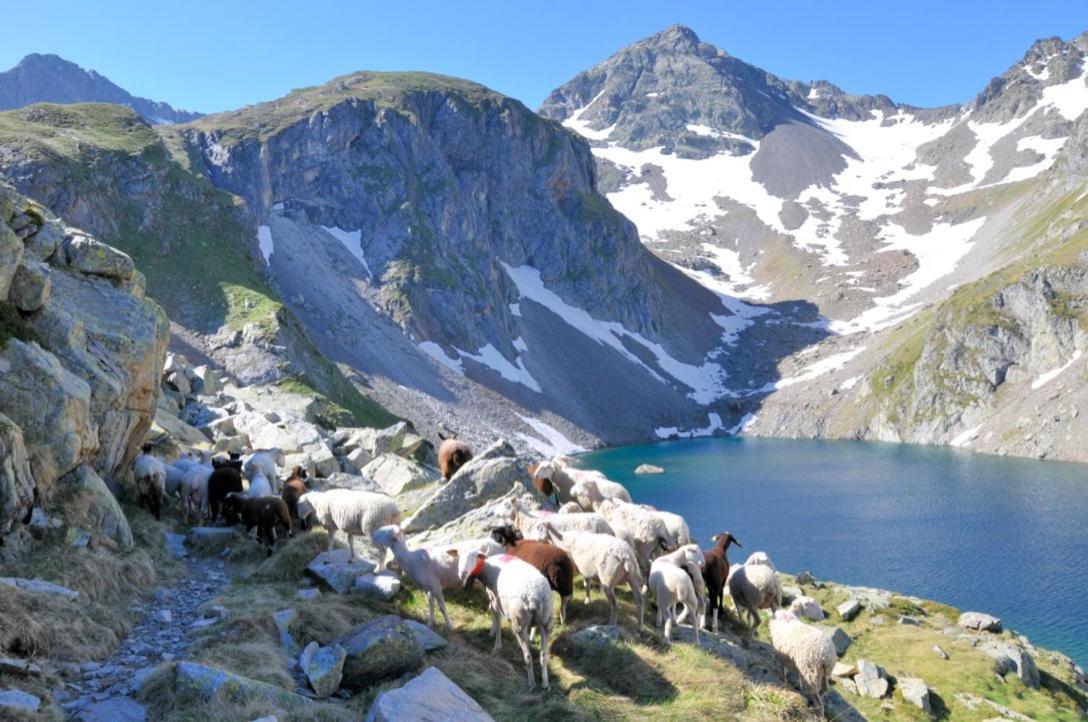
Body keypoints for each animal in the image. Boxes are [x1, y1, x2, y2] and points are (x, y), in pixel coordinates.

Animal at [367, 524, 498, 630]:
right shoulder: (428, 588)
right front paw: (431, 623)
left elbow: (442, 608)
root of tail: (496, 544)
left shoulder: (436, 586)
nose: (372, 534)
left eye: (386, 531)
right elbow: (430, 604)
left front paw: (449, 626)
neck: (411, 560)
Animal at [450, 543, 552, 691]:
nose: (462, 573)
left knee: (528, 656)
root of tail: (535, 596)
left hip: (519, 621)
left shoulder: (494, 597)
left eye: (474, 557)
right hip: (546, 621)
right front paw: (492, 632)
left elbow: (497, 621)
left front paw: (496, 643)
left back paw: (531, 683)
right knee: (543, 655)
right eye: (458, 556)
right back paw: (545, 683)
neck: (486, 567)